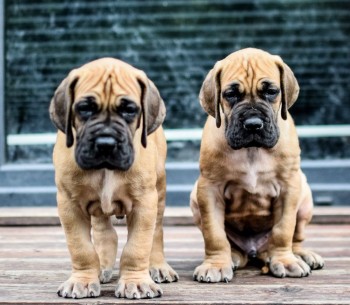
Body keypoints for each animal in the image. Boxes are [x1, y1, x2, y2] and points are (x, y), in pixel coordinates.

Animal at [49, 58, 178, 298]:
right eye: (84, 109)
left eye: (129, 110)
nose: (106, 143)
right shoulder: (69, 204)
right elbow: (81, 248)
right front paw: (82, 280)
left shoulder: (144, 204)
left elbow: (137, 247)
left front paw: (137, 282)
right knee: (104, 232)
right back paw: (103, 267)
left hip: (160, 191)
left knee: (156, 232)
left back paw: (158, 266)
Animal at [191, 48, 326, 282]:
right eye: (230, 94)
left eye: (271, 91)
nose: (253, 124)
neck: (252, 150)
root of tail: (254, 251)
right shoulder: (209, 190)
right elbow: (214, 233)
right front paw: (216, 264)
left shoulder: (289, 187)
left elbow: (283, 230)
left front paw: (285, 261)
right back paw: (234, 256)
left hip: (305, 198)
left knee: (295, 237)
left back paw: (299, 255)